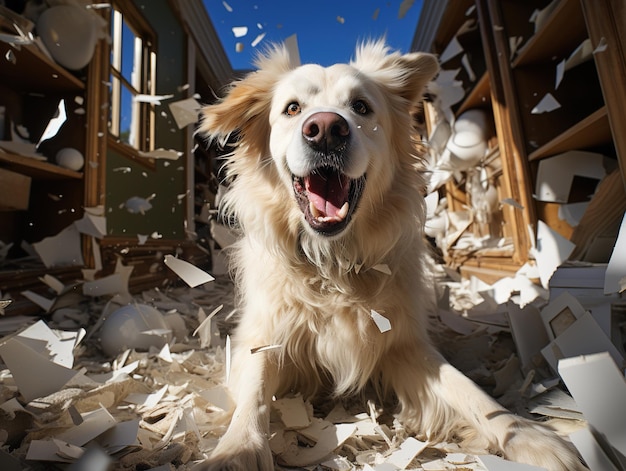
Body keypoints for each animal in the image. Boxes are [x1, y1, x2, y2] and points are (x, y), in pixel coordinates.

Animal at [196, 41, 584, 471]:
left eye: (361, 107)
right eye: (292, 108)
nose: (326, 129)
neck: (333, 266)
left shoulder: (404, 345)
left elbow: (470, 391)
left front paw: (528, 435)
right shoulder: (262, 340)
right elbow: (254, 395)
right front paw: (235, 451)